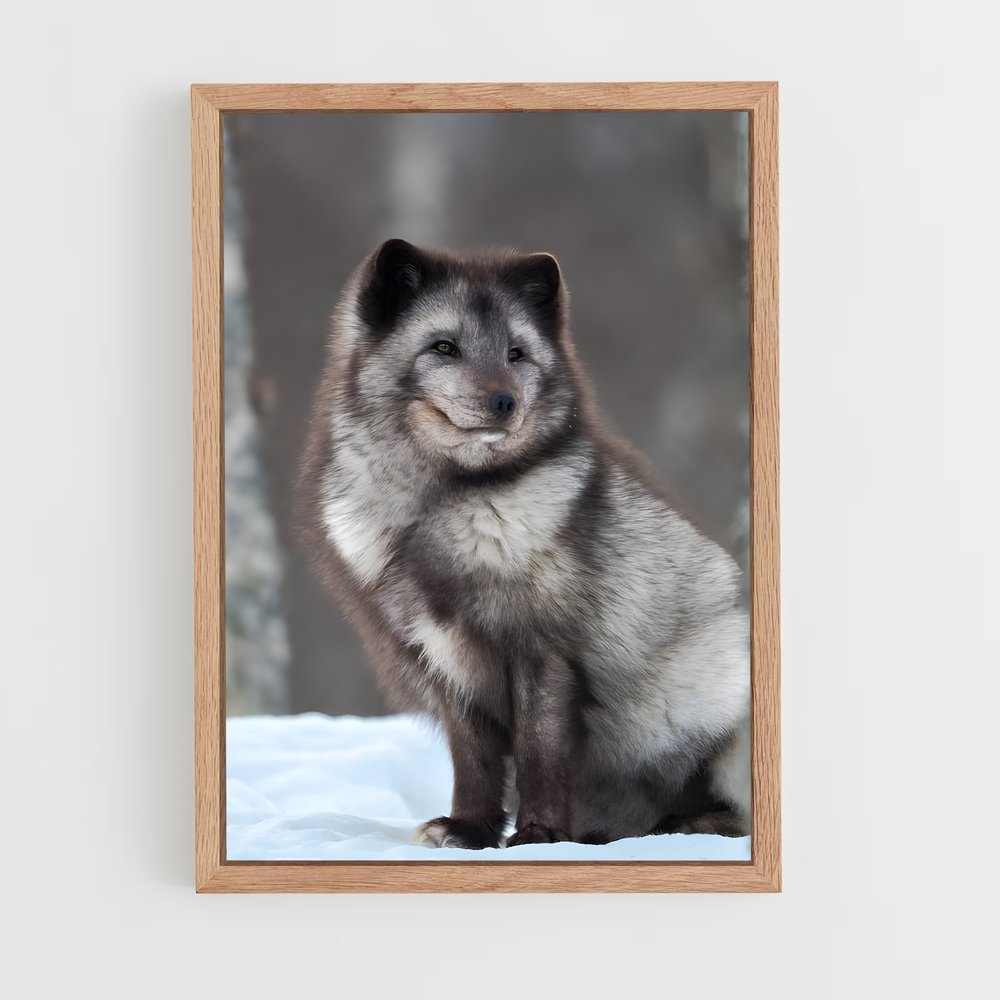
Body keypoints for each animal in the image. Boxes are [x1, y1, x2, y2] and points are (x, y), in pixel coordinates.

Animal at [296, 238, 750, 848]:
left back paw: (684, 825)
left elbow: (539, 751)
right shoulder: (443, 656)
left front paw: (538, 835)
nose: (504, 402)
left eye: (516, 354)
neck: (443, 503)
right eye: (444, 347)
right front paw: (468, 830)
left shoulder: (544, 649)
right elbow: (473, 759)